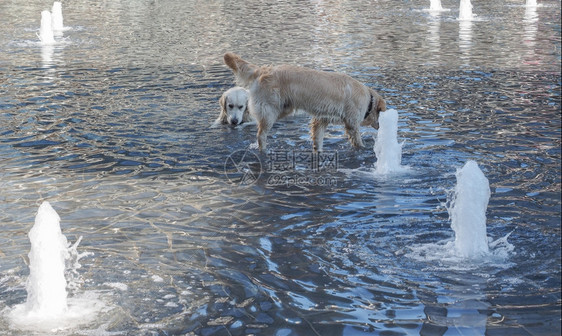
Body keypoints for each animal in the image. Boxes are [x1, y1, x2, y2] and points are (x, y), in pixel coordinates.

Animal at [223, 52, 384, 151]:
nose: (381, 127)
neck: (368, 100)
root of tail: (262, 70)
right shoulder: (352, 124)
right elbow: (358, 141)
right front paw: (364, 149)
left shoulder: (321, 119)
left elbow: (318, 139)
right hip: (270, 112)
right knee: (261, 135)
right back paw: (264, 150)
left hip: (283, 109)